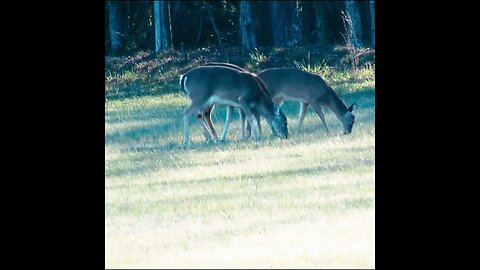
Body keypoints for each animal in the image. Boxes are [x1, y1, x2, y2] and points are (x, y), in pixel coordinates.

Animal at [200, 63, 356, 139]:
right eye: (351, 120)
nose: (348, 132)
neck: (325, 95)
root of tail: (256, 75)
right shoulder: (313, 99)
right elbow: (322, 116)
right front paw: (328, 132)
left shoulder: (304, 101)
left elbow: (301, 116)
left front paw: (297, 132)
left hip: (277, 99)